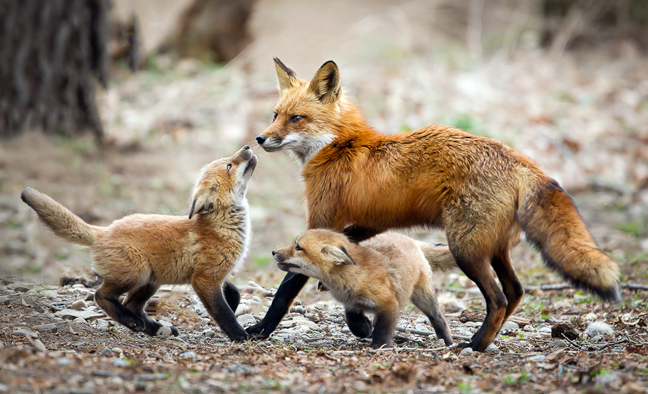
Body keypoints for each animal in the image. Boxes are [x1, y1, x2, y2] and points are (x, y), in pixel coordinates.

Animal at [249, 58, 624, 350]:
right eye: (275, 114)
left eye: (296, 118)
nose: (260, 138)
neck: (339, 146)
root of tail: (517, 157)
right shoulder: (367, 224)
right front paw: (358, 319)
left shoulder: (321, 221)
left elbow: (286, 289)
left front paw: (260, 330)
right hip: (492, 248)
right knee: (516, 291)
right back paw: (482, 339)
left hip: (466, 248)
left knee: (499, 298)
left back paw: (474, 344)